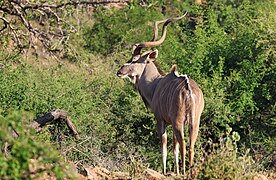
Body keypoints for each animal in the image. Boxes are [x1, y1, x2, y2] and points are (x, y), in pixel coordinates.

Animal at [117, 14, 205, 176]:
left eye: (134, 60)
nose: (119, 71)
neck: (156, 84)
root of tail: (188, 88)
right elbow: (174, 148)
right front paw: (176, 171)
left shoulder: (161, 120)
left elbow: (164, 145)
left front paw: (165, 171)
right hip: (194, 122)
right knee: (190, 146)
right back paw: (189, 171)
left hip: (179, 122)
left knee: (183, 144)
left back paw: (184, 171)